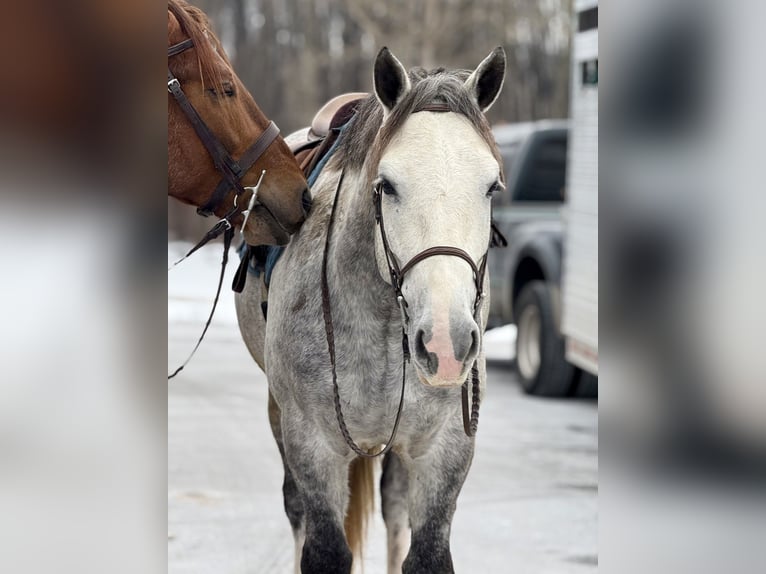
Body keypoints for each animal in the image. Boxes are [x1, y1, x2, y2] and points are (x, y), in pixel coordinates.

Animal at [236, 46, 506, 573]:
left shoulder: (444, 447)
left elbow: (426, 554)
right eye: (389, 185)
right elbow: (323, 548)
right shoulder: (313, 445)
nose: (446, 344)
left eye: (491, 187)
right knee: (295, 508)